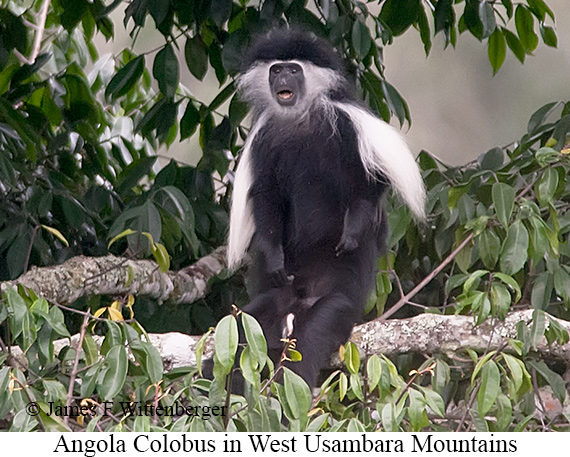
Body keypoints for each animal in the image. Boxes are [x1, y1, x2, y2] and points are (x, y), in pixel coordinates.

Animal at [226, 28, 422, 386]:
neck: (300, 119)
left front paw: (352, 232)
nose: (283, 79)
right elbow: (266, 197)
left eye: (293, 69)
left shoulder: (348, 124)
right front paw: (274, 257)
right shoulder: (264, 142)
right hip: (271, 302)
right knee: (241, 331)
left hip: (337, 303)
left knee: (308, 344)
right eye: (276, 70)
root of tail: (301, 299)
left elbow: (373, 181)